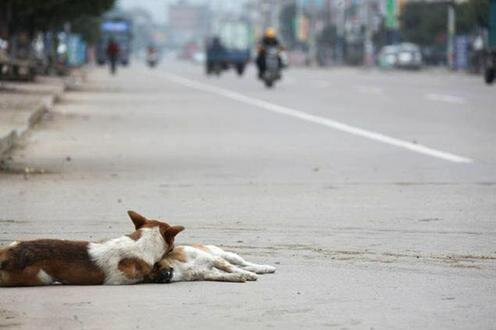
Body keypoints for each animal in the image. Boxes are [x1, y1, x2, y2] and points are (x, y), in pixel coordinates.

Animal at [145, 242, 278, 284]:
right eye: (153, 279)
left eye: (157, 265)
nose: (162, 278)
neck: (180, 268)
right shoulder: (208, 274)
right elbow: (226, 275)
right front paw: (239, 277)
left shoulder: (214, 260)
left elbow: (233, 269)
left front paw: (248, 275)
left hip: (228, 256)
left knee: (244, 264)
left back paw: (265, 268)